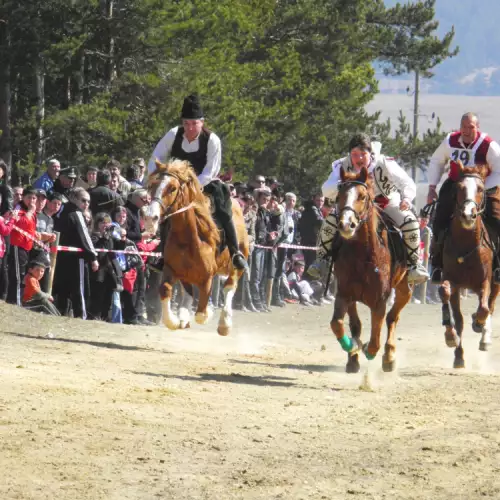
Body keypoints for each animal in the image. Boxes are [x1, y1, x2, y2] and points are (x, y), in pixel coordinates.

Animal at [145, 160, 250, 336]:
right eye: (153, 185)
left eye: (172, 188)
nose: (149, 217)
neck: (188, 239)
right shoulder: (171, 269)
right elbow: (165, 290)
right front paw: (175, 321)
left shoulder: (206, 278)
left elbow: (201, 313)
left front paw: (209, 313)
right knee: (187, 292)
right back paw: (184, 317)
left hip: (237, 264)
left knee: (230, 286)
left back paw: (224, 323)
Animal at [330, 166, 412, 374]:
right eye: (339, 196)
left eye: (362, 196)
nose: (346, 224)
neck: (363, 256)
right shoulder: (344, 294)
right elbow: (340, 324)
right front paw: (352, 350)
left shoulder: (379, 301)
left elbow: (375, 340)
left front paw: (367, 349)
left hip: (403, 286)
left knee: (393, 316)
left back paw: (389, 356)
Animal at [440, 162, 498, 370]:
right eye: (459, 188)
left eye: (480, 189)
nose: (467, 215)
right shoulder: (452, 281)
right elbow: (448, 300)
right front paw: (452, 341)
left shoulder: (485, 281)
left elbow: (484, 308)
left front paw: (479, 324)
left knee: (490, 305)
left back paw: (484, 335)